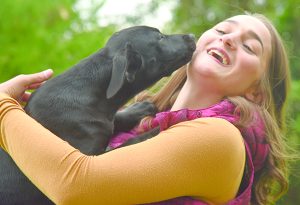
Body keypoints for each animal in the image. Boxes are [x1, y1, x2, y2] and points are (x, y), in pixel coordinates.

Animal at [0, 26, 195, 205]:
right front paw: (160, 128)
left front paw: (140, 108)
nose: (192, 35)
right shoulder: (90, 161)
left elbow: (116, 120)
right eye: (160, 38)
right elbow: (128, 143)